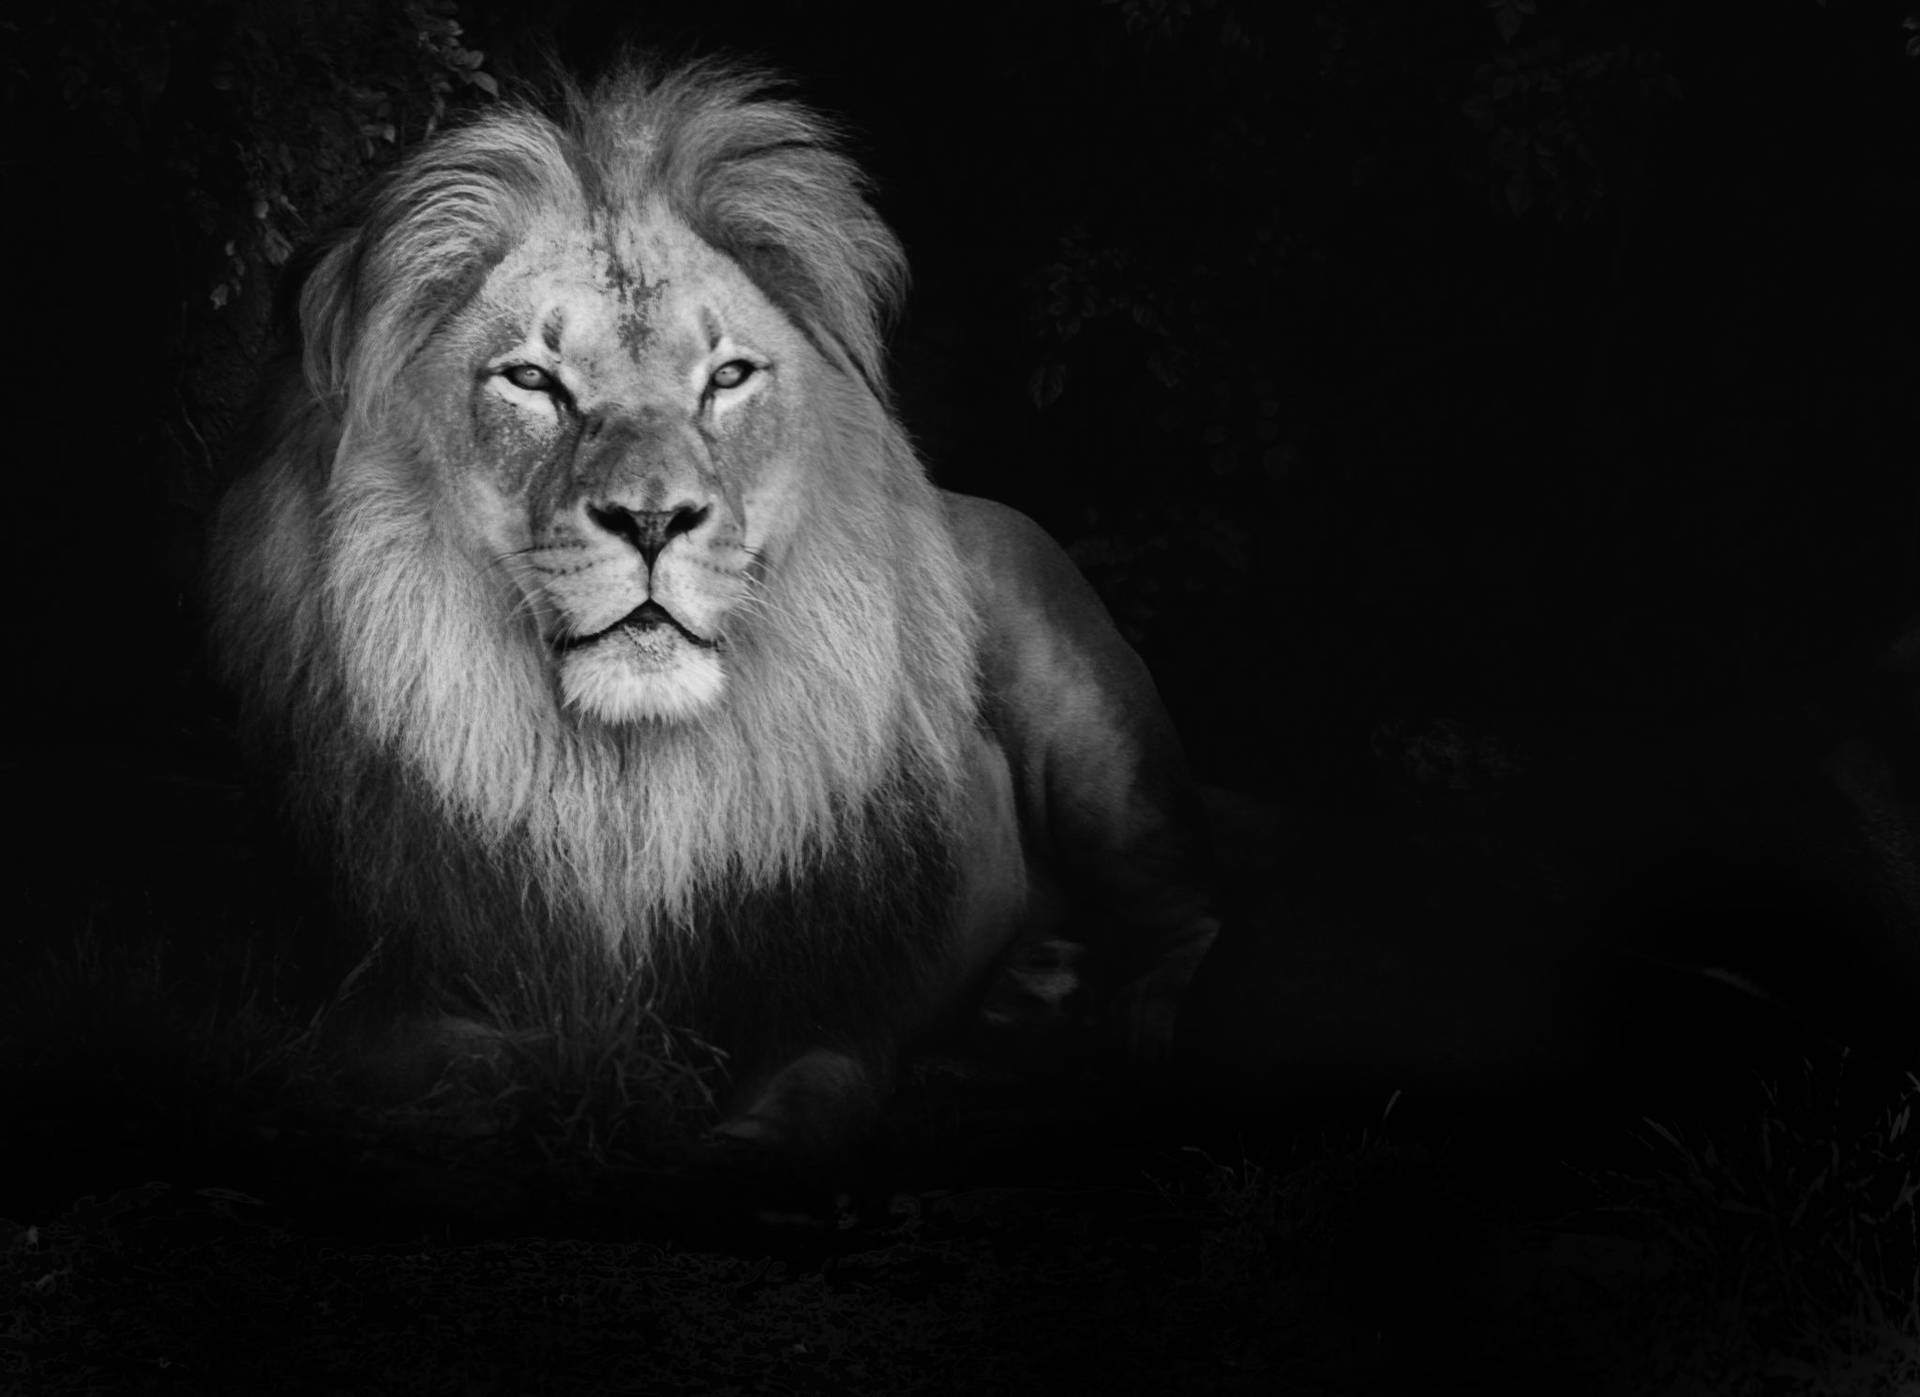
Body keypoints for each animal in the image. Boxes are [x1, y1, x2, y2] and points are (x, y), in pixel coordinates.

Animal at [208, 57, 1219, 1167]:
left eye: (728, 377)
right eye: (533, 379)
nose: (653, 518)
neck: (627, 783)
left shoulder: (834, 1005)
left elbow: (809, 1092)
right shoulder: (366, 991)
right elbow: (450, 1056)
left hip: (1090, 731)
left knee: (1190, 901)